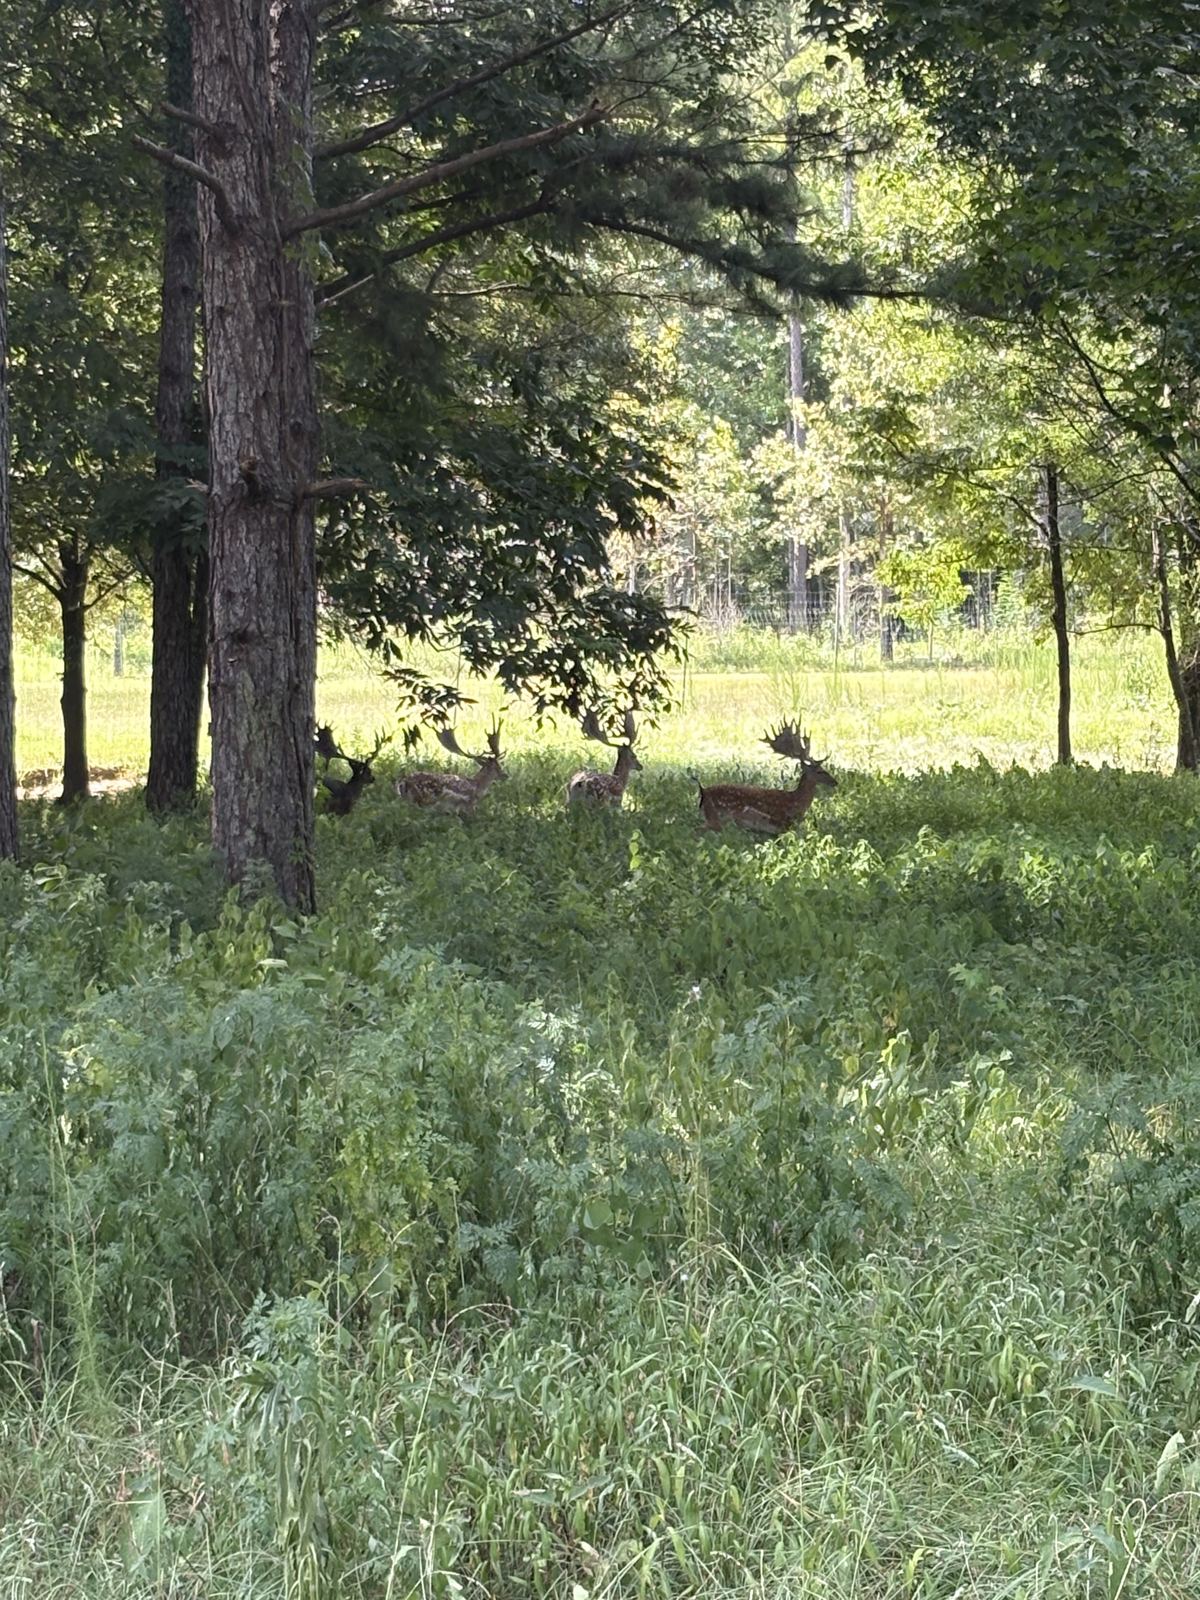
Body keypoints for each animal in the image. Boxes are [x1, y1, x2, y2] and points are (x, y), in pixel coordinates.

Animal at [698, 722, 837, 837]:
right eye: (820, 771)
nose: (835, 782)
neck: (796, 802)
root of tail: (704, 792)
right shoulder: (782, 822)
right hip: (722, 817)